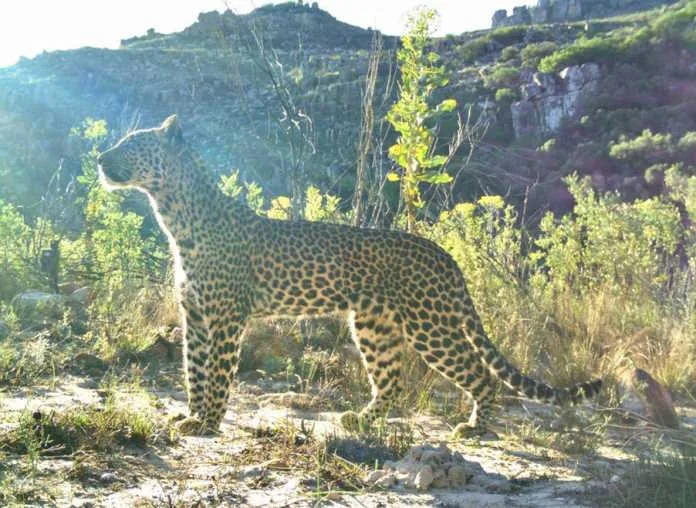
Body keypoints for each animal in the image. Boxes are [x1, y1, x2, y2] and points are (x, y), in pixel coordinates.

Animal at [97, 115, 602, 437]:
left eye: (131, 144)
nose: (101, 158)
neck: (176, 219)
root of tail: (445, 256)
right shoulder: (196, 317)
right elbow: (193, 371)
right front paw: (192, 416)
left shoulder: (224, 319)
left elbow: (216, 373)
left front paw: (206, 423)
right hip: (375, 326)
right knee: (393, 382)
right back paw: (364, 419)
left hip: (431, 327)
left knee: (480, 374)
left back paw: (476, 427)